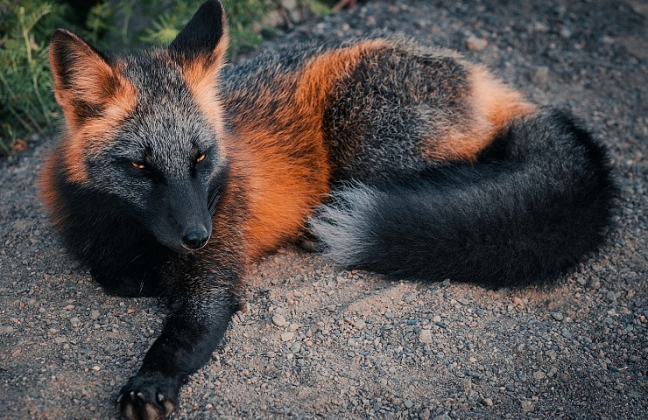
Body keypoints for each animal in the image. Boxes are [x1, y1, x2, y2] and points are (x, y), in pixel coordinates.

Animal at [38, 0, 616, 420]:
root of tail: (481, 78)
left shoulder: (217, 273)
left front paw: (151, 382)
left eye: (200, 158)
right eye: (140, 167)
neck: (132, 236)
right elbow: (114, 276)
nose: (198, 235)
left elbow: (182, 335)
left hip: (365, 142)